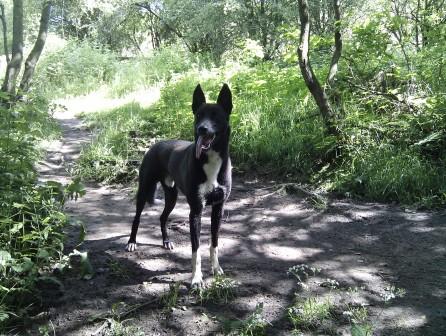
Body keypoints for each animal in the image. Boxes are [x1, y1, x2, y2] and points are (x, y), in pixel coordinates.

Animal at [124, 84, 232, 288]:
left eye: (215, 116)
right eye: (199, 115)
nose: (202, 129)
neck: (211, 159)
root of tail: (155, 145)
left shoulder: (218, 208)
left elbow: (214, 242)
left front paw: (216, 269)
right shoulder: (195, 211)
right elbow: (196, 250)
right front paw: (196, 279)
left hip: (172, 196)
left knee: (162, 217)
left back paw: (166, 241)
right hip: (144, 189)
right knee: (136, 218)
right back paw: (131, 242)